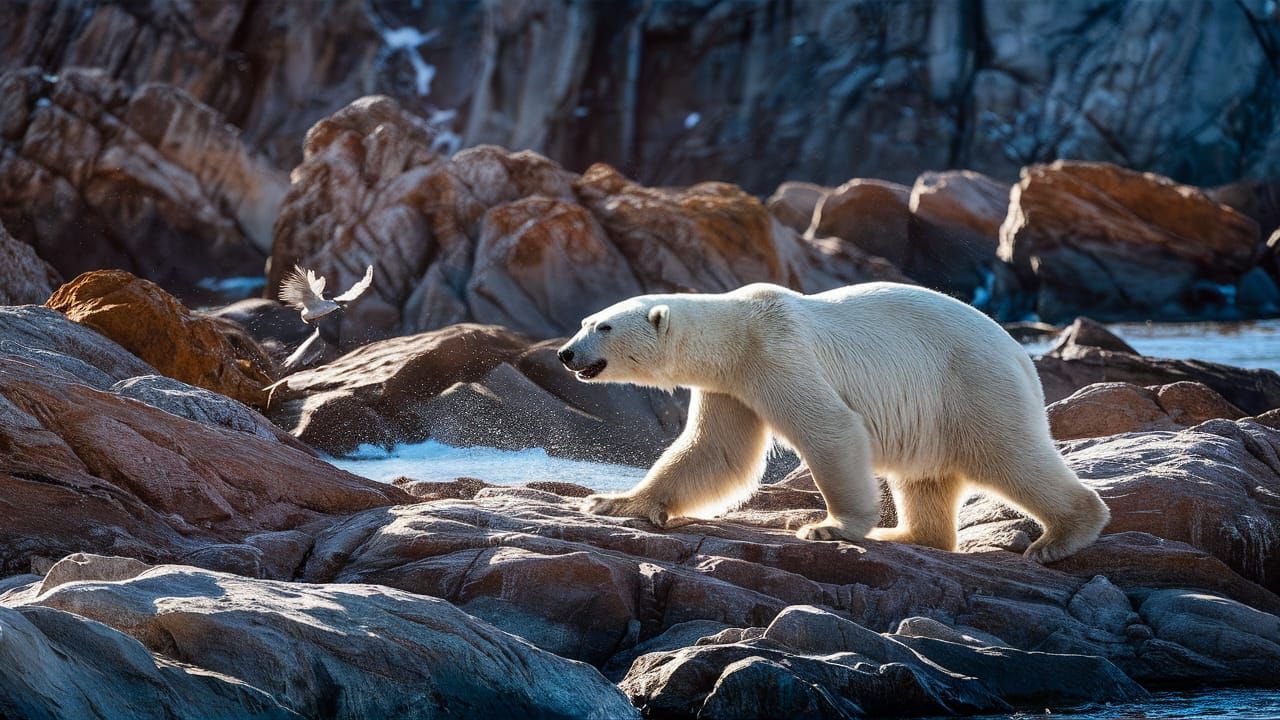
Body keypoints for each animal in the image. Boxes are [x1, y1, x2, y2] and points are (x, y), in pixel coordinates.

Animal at [556, 281, 1110, 563]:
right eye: (584, 321)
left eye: (603, 326)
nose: (565, 354)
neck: (737, 328)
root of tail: (1021, 355)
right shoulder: (730, 387)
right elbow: (715, 452)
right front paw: (611, 502)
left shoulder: (776, 355)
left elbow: (831, 429)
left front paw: (828, 527)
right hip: (938, 411)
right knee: (926, 477)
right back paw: (904, 535)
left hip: (970, 385)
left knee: (1010, 455)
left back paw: (1059, 538)